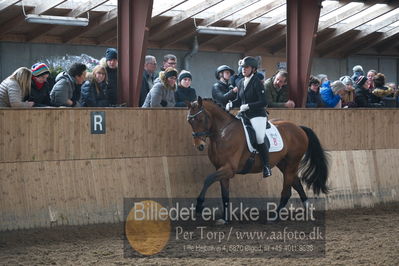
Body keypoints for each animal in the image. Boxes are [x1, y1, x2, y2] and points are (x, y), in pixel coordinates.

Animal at [186, 96, 330, 221]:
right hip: (283, 164)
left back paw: (274, 217)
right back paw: (307, 210)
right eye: (189, 121)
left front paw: (199, 205)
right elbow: (224, 194)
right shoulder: (221, 169)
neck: (222, 133)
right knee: (297, 183)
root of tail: (299, 128)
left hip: (292, 162)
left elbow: (208, 179)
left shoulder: (229, 169)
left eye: (200, 119)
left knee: (287, 191)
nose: (199, 146)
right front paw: (224, 219)